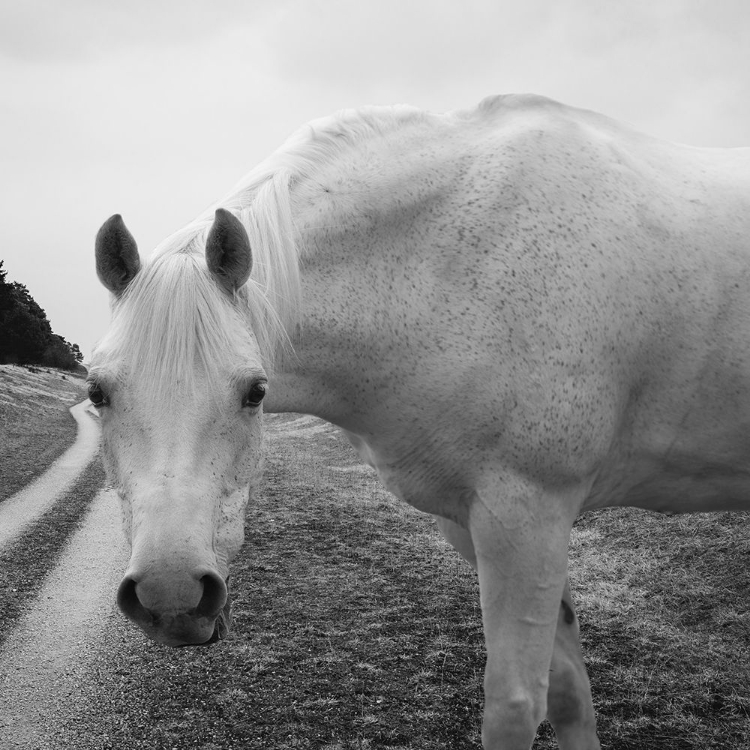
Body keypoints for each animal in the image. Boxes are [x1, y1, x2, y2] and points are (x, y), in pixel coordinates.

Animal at [92, 95, 750, 750]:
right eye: (97, 391)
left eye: (255, 392)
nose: (172, 593)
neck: (450, 268)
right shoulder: (475, 523)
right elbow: (567, 694)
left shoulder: (530, 517)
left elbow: (514, 705)